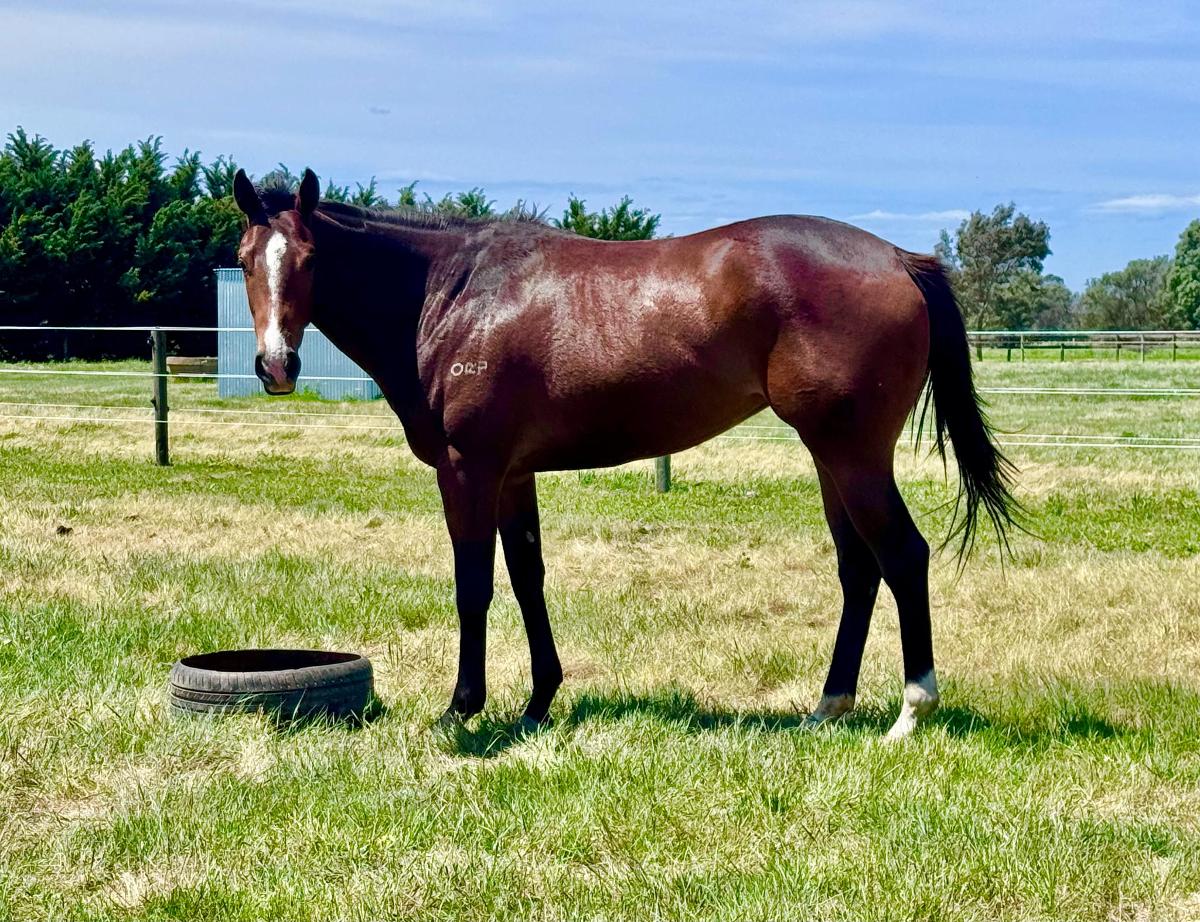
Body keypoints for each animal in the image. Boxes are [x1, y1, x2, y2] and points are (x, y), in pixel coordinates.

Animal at [231, 168, 1017, 740]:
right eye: (243, 261)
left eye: (310, 259)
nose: (275, 365)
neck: (452, 293)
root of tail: (899, 259)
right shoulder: (514, 475)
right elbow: (528, 579)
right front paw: (538, 702)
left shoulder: (468, 470)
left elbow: (473, 585)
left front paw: (462, 709)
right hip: (831, 459)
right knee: (859, 569)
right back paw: (828, 707)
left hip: (853, 455)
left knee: (903, 556)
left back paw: (910, 712)